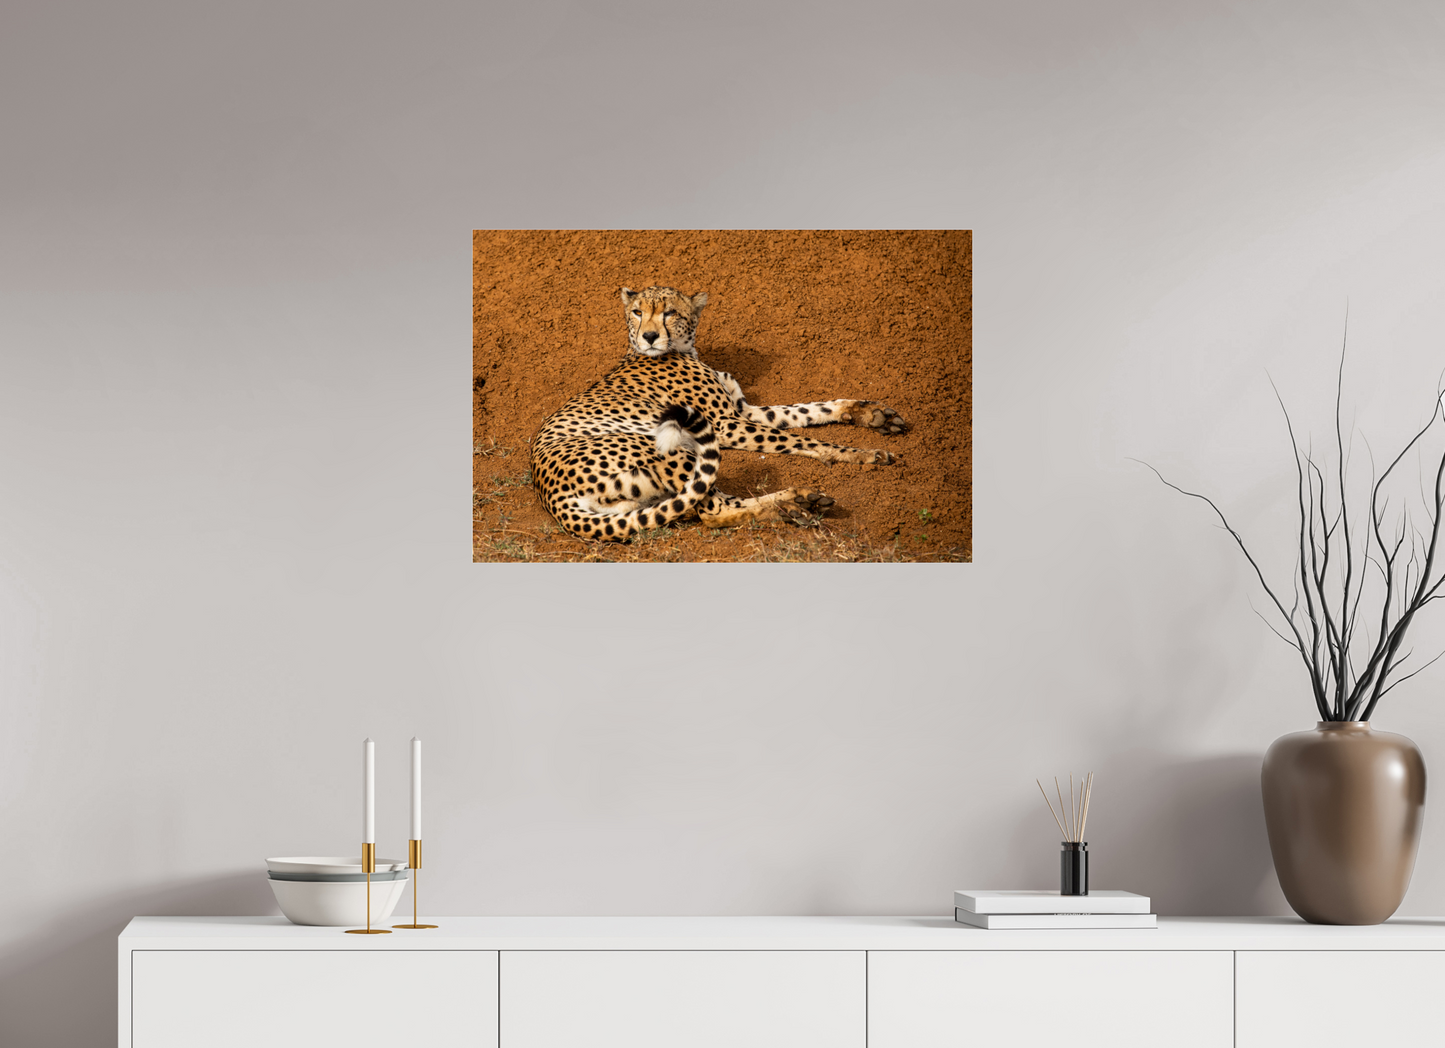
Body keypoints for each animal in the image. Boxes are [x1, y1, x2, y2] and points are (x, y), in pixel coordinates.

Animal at [530, 285, 909, 542]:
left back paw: (798, 502)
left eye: (669, 313)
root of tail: (550, 494)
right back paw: (792, 505)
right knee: (712, 510)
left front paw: (870, 414)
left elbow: (806, 411)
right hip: (667, 449)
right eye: (637, 312)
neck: (683, 349)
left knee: (709, 504)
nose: (649, 336)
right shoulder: (725, 424)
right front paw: (861, 454)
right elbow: (801, 438)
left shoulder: (744, 411)